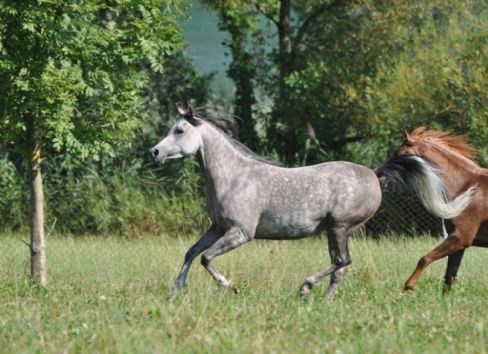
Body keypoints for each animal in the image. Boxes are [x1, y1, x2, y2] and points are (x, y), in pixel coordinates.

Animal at [151, 105, 384, 296]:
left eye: (180, 130)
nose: (154, 152)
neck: (234, 178)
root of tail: (373, 175)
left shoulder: (241, 233)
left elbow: (206, 257)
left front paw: (231, 285)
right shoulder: (217, 228)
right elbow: (191, 252)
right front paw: (176, 290)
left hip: (339, 226)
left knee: (342, 261)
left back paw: (305, 287)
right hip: (335, 231)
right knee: (340, 269)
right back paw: (324, 300)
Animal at [378, 127, 488, 294]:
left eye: (399, 155)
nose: (381, 179)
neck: (468, 188)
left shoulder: (460, 238)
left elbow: (424, 259)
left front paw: (407, 288)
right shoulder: (458, 243)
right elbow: (449, 277)